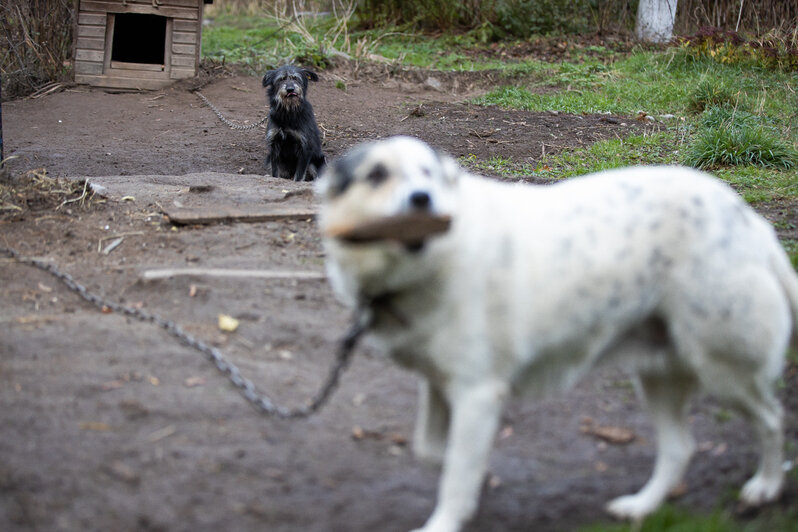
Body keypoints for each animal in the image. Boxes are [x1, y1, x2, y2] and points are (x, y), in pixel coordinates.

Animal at [316, 136, 796, 532]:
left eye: (428, 174)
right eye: (376, 175)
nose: (422, 199)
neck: (427, 264)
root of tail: (747, 218)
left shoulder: (477, 393)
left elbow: (453, 475)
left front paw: (448, 519)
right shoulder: (439, 385)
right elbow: (433, 451)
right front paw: (482, 478)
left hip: (724, 366)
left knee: (773, 420)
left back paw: (764, 487)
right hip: (658, 373)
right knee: (681, 447)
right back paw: (641, 507)